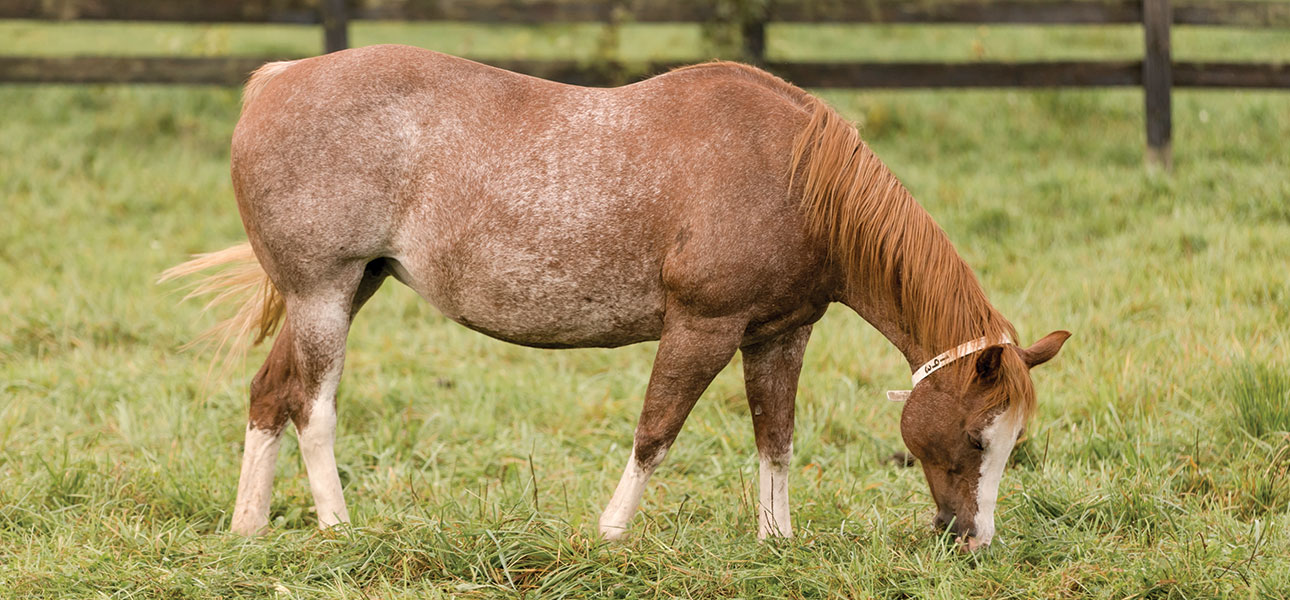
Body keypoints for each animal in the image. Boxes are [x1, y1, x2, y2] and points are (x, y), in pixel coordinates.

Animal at [163, 44, 1069, 551]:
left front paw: (777, 542)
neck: (792, 176)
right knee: (313, 407)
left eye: (1013, 442)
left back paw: (249, 531)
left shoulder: (778, 335)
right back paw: (337, 527)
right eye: (978, 437)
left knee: (269, 394)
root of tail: (276, 79)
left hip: (344, 288)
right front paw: (609, 535)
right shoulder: (702, 328)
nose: (974, 541)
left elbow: (776, 439)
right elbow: (655, 433)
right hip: (322, 292)